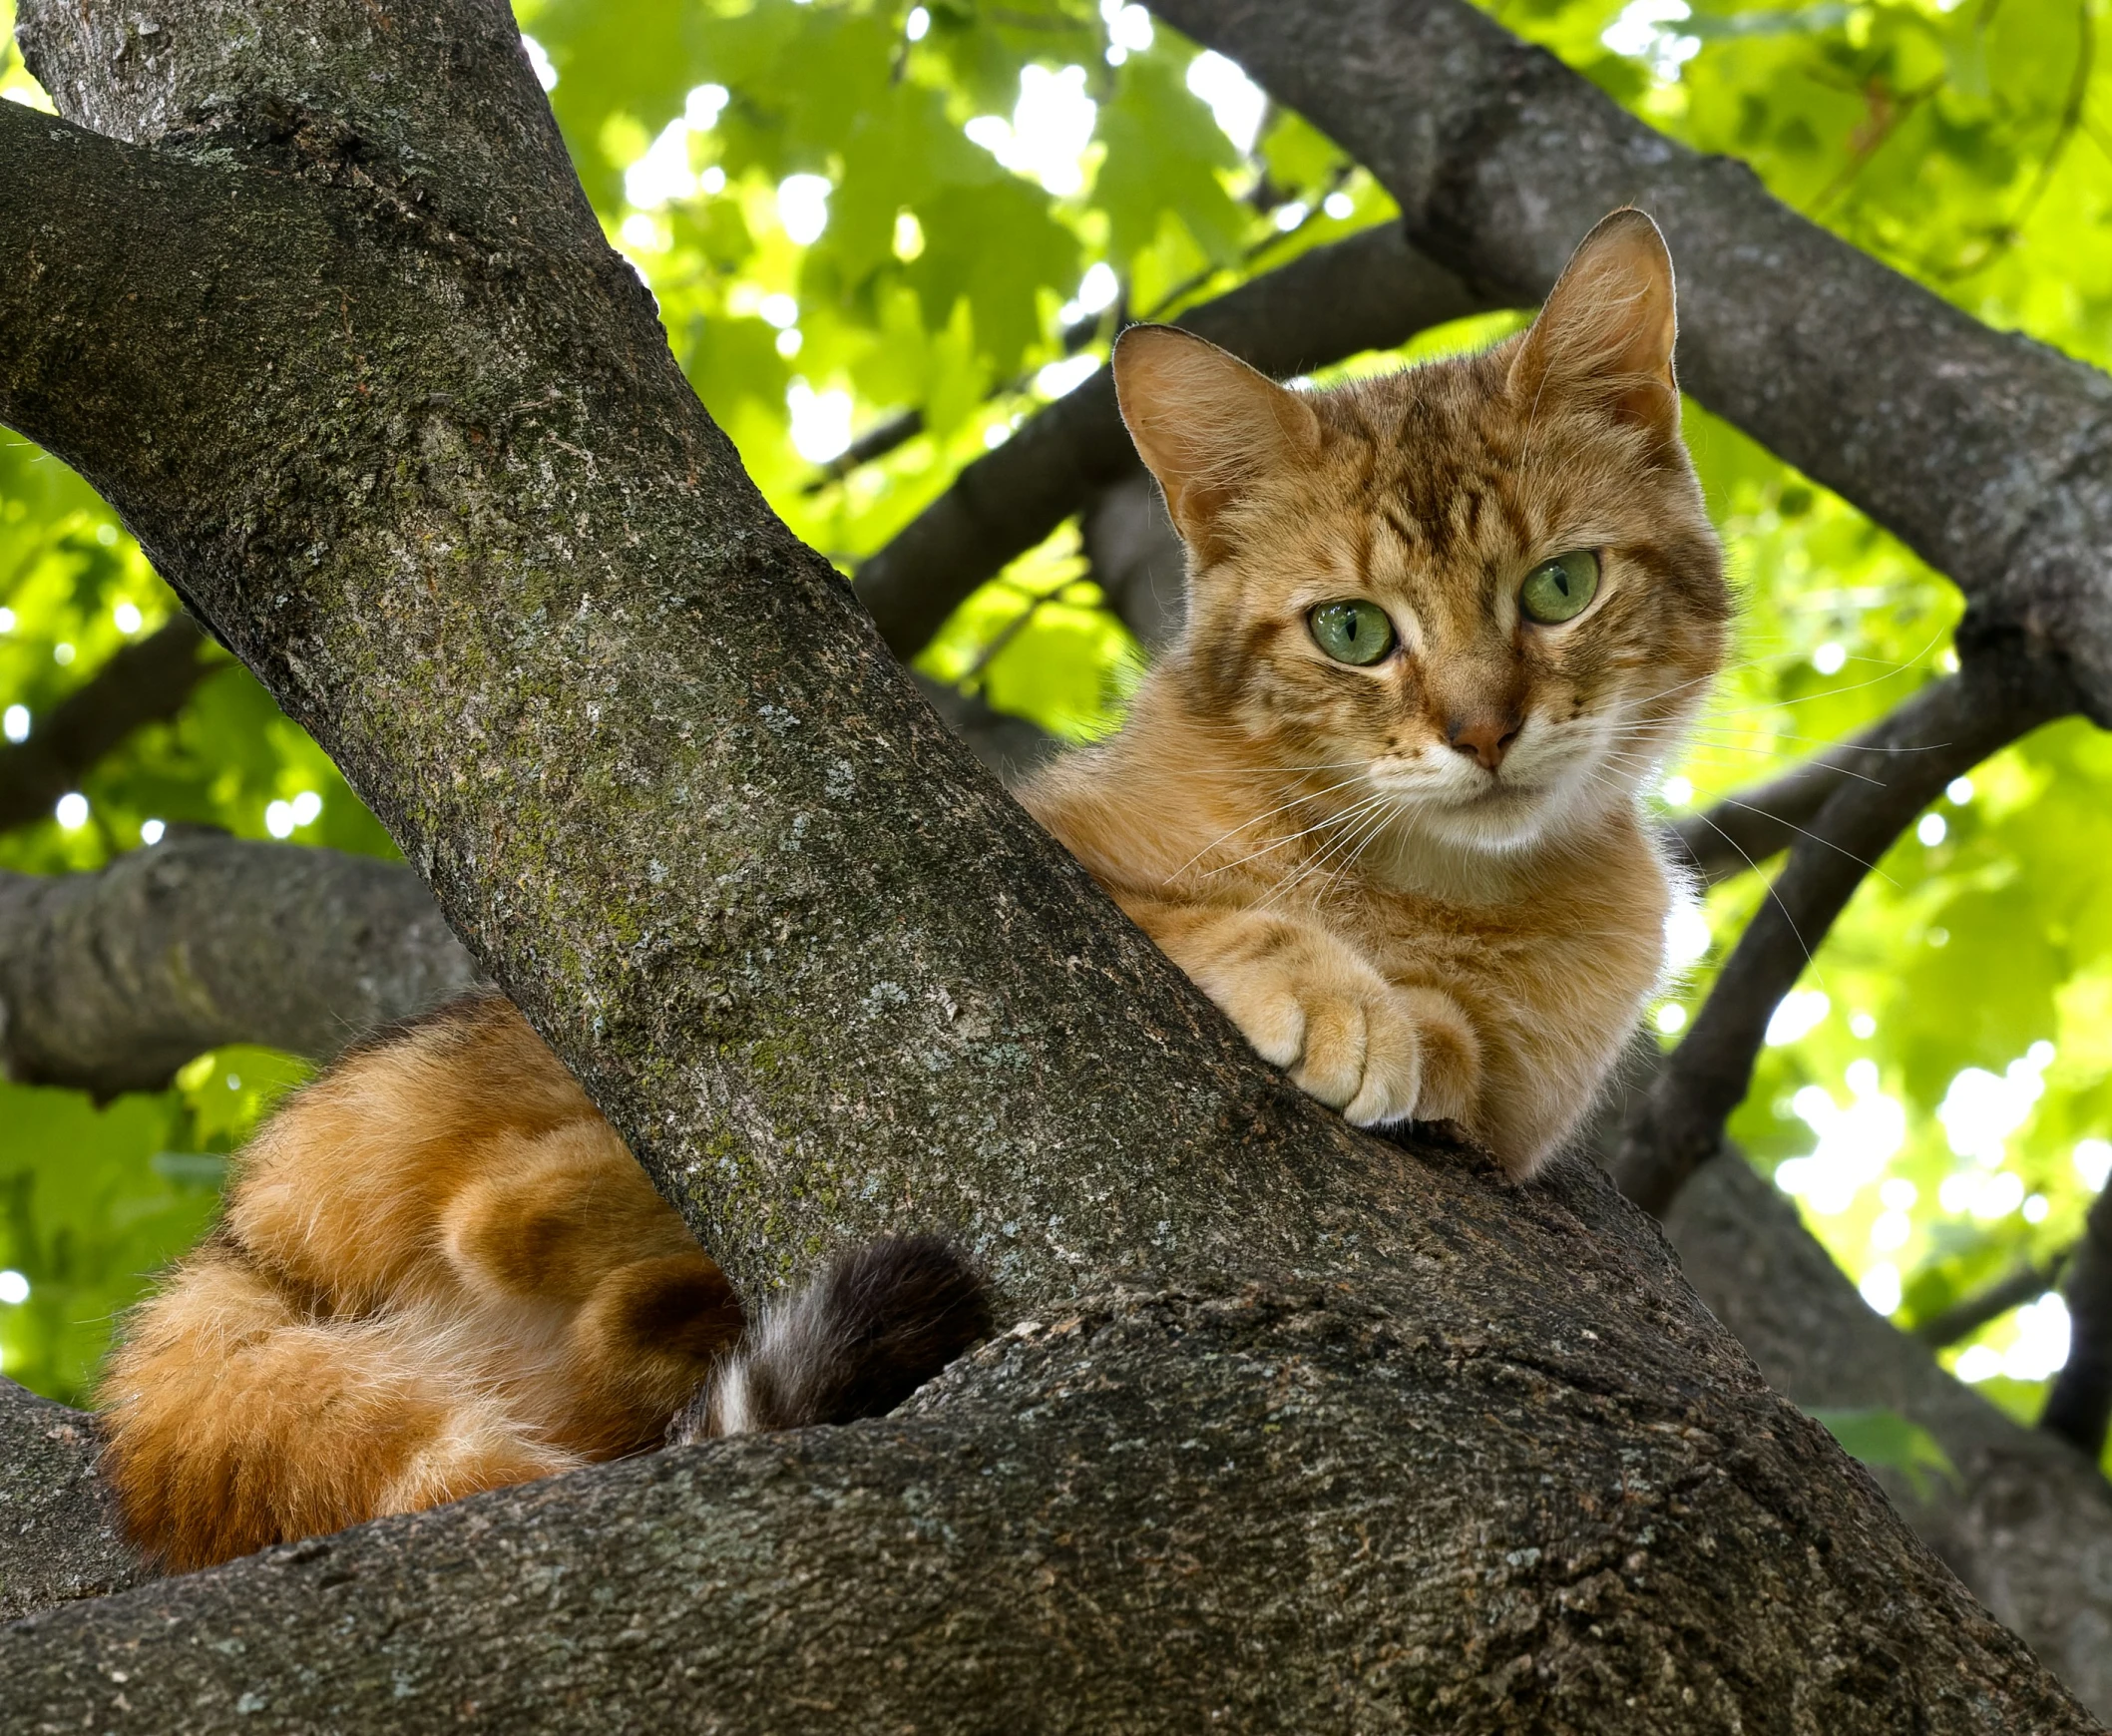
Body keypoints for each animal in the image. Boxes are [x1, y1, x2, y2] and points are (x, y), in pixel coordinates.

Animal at [1022, 207, 1731, 1182]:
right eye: (1351, 630)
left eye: (1561, 586)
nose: (1483, 732)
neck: (1430, 893)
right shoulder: (1057, 841)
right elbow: (1197, 912)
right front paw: (1335, 992)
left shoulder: (1520, 1112)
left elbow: (1471, 1052)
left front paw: (1425, 1027)